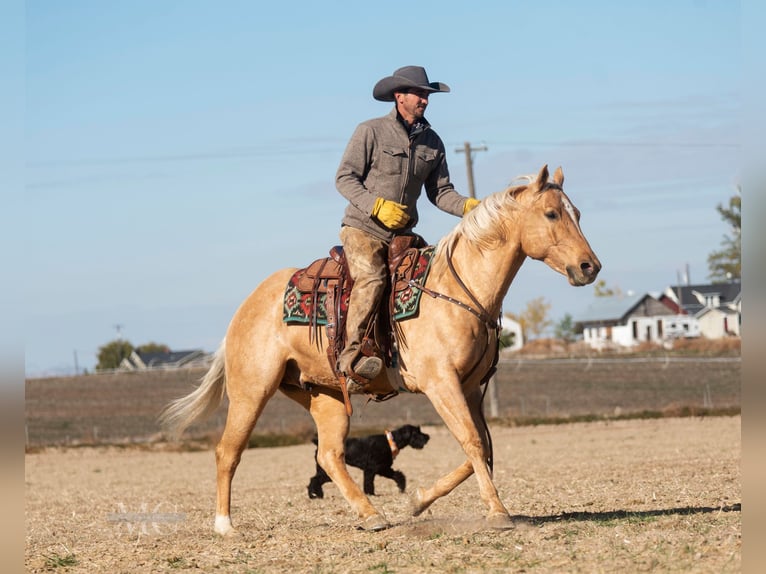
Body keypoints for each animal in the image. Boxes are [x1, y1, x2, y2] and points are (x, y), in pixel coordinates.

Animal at [162, 165, 604, 536]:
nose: (590, 267)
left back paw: (371, 515)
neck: (458, 290)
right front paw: (497, 514)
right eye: (551, 214)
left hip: (324, 396)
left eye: (578, 213)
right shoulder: (441, 384)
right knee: (228, 451)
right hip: (251, 391)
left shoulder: (471, 388)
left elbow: (484, 447)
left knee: (330, 456)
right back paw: (225, 526)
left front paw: (419, 501)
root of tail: (248, 305)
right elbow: (474, 443)